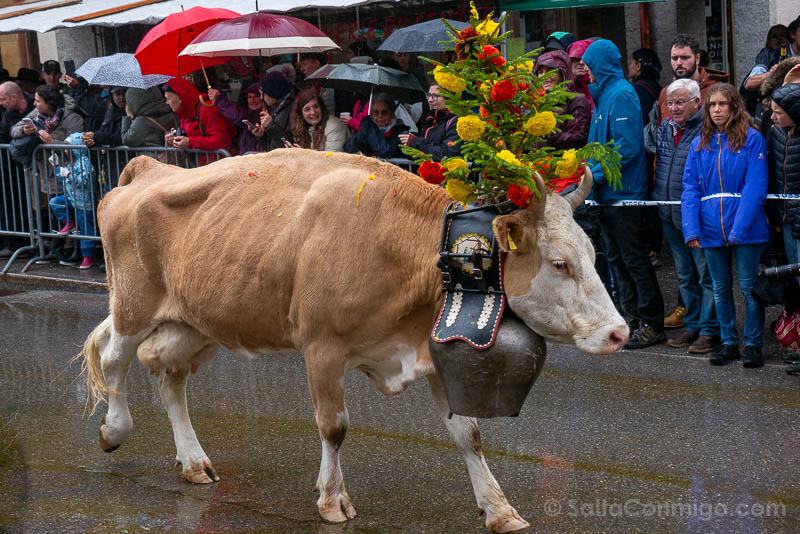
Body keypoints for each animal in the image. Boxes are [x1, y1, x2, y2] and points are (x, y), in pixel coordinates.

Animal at [79, 149, 628, 533]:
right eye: (559, 263)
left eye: (594, 253)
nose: (619, 333)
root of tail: (148, 168)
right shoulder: (322, 348)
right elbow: (334, 426)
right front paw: (332, 500)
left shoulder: (431, 350)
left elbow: (467, 434)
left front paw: (498, 508)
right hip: (133, 306)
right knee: (114, 357)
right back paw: (114, 430)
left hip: (199, 321)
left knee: (167, 375)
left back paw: (193, 462)